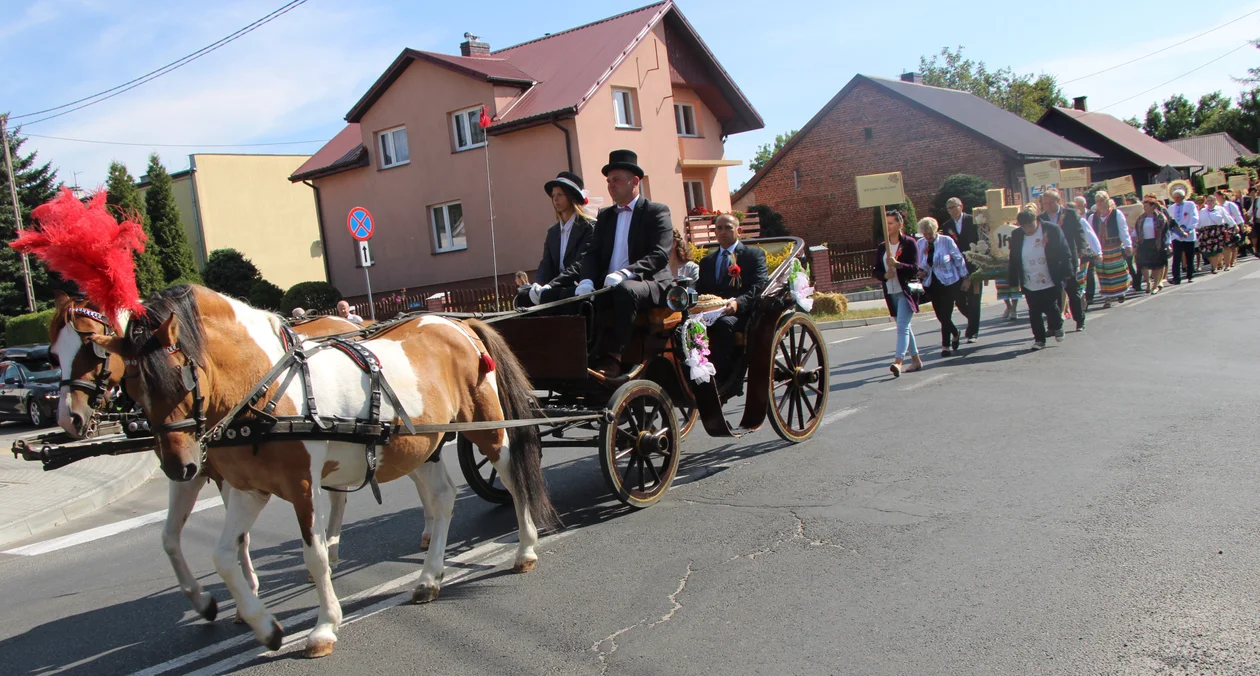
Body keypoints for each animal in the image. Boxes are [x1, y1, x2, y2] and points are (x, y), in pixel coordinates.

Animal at [49, 294, 443, 621]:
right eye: (54, 353)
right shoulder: (196, 471)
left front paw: (247, 595)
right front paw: (204, 600)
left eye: (92, 349)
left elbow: (240, 538)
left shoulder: (225, 473)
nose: (69, 418)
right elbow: (170, 536)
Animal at [93, 283, 556, 654]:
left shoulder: (302, 486)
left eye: (182, 378)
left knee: (512, 476)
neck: (269, 385)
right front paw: (264, 627)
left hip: (487, 427)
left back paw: (525, 549)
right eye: (130, 385)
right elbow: (224, 556)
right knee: (442, 498)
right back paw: (428, 578)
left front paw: (324, 627)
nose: (180, 466)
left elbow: (313, 554)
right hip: (420, 445)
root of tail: (458, 325)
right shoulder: (249, 489)